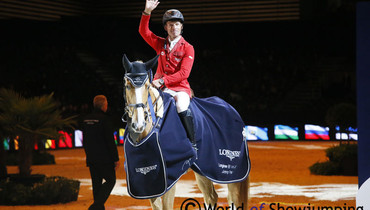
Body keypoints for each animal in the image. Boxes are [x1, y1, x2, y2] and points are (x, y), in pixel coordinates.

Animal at [123, 54, 250, 210]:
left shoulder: (170, 177)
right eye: (127, 86)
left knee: (233, 199)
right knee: (211, 197)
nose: (139, 124)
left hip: (231, 174)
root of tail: (230, 108)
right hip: (204, 169)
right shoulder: (150, 182)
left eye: (147, 86)